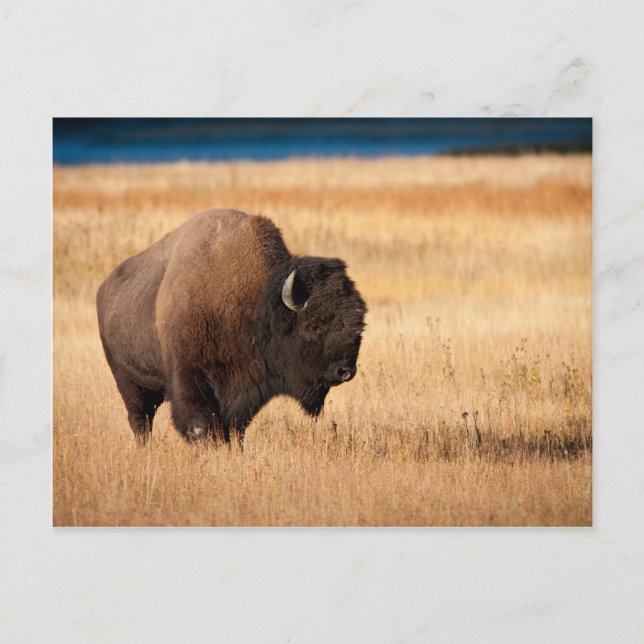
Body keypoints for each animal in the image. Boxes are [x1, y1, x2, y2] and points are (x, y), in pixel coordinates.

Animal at [97, 209, 366, 445]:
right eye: (313, 326)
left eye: (359, 325)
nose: (345, 371)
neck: (253, 303)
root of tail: (104, 288)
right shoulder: (189, 379)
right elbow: (200, 425)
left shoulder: (243, 392)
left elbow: (236, 427)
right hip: (127, 379)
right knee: (140, 419)